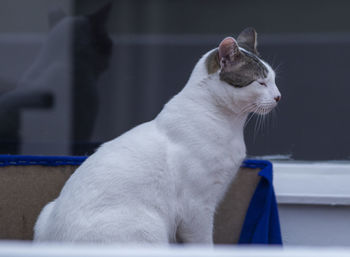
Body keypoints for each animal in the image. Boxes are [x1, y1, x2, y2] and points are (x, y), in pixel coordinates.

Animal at [34, 28, 280, 244]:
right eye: (260, 82)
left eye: (274, 80)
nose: (279, 96)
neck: (230, 125)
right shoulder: (196, 208)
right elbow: (203, 243)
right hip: (150, 226)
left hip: (45, 212)